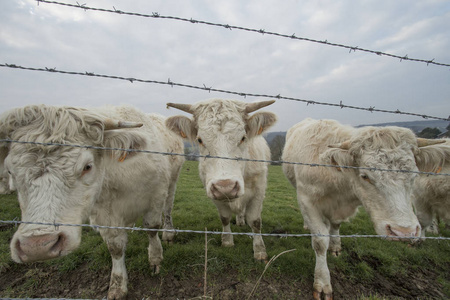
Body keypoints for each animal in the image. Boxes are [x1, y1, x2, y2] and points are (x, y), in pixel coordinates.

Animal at [0, 104, 184, 298]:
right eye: (10, 171)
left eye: (87, 167)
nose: (38, 246)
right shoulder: (104, 212)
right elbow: (115, 247)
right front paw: (117, 284)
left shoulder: (156, 196)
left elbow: (152, 228)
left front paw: (155, 259)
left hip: (172, 182)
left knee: (168, 208)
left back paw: (168, 232)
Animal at [166, 99, 276, 262]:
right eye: (200, 140)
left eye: (243, 138)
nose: (226, 187)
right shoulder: (214, 191)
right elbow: (224, 218)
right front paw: (227, 241)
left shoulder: (259, 191)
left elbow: (255, 222)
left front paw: (260, 251)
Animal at [282, 118, 446, 298]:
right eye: (365, 176)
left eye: (414, 175)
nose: (403, 232)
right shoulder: (307, 201)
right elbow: (320, 242)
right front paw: (322, 281)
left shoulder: (340, 208)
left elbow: (335, 226)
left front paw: (336, 246)